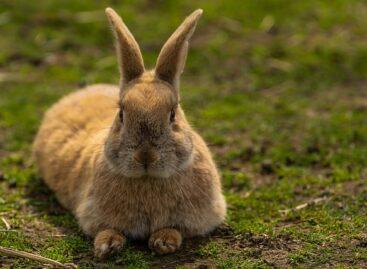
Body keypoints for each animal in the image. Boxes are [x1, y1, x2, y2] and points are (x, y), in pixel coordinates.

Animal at [32, 7, 227, 256]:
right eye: (122, 114)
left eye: (173, 114)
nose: (145, 156)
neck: (147, 179)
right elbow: (107, 229)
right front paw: (107, 245)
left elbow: (176, 229)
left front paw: (164, 241)